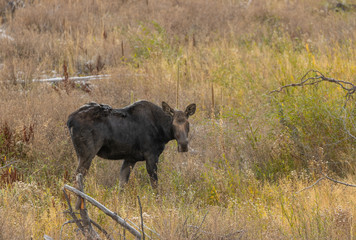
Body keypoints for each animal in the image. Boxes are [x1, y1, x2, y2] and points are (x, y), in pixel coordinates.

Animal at [65, 100, 196, 188]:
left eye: (187, 123)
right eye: (173, 124)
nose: (183, 145)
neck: (162, 132)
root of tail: (69, 120)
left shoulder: (130, 158)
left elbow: (122, 185)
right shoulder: (151, 156)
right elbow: (155, 186)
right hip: (87, 154)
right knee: (75, 179)